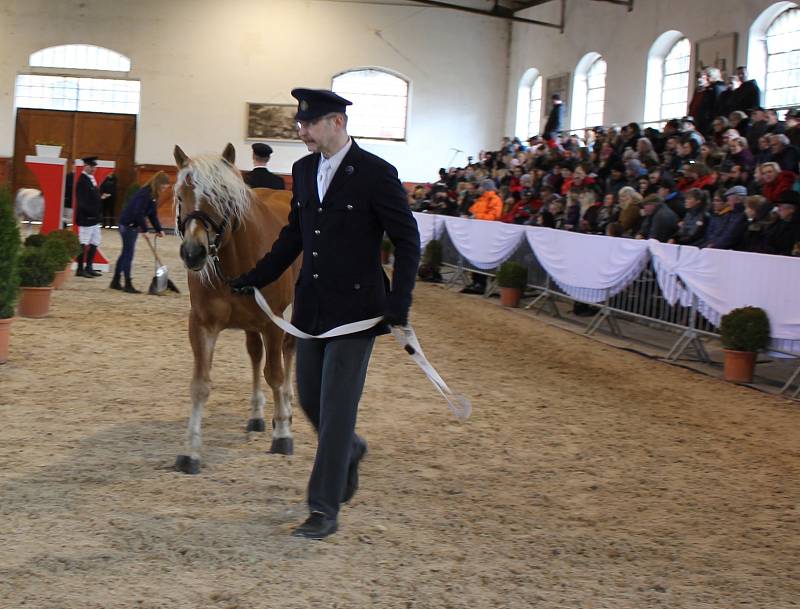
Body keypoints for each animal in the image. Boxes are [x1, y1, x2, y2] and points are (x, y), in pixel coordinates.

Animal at [173, 144, 298, 476]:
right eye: (181, 197)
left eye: (222, 198)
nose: (193, 253)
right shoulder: (201, 325)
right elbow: (200, 385)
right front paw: (190, 452)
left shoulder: (274, 324)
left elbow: (275, 375)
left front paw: (283, 433)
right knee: (255, 356)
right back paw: (256, 415)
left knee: (288, 353)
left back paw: (286, 408)